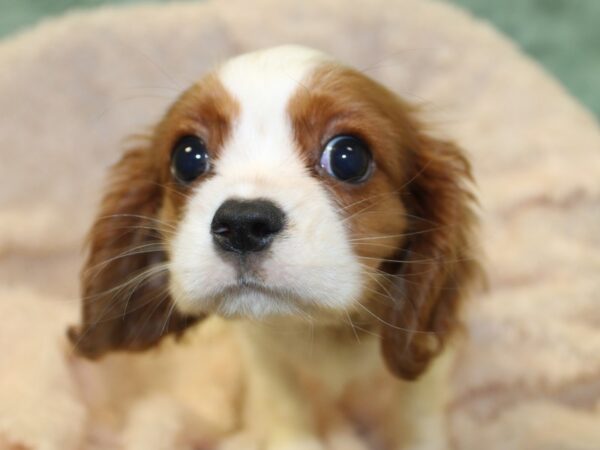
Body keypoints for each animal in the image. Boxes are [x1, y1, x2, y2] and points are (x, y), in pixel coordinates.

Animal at [69, 45, 478, 450]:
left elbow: (416, 416)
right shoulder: (264, 358)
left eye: (348, 157)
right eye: (187, 156)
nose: (242, 225)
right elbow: (285, 407)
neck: (323, 329)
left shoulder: (424, 366)